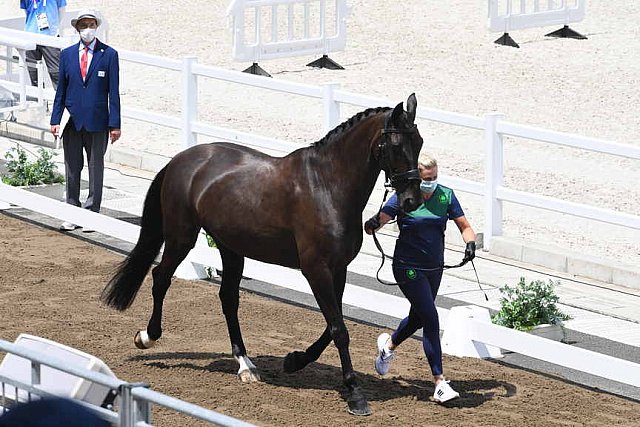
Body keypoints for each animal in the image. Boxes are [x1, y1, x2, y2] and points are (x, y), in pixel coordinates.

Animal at [101, 93, 424, 414]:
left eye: (419, 142)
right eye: (396, 144)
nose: (411, 201)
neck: (327, 186)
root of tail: (182, 159)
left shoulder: (338, 269)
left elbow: (332, 326)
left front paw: (295, 360)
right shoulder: (316, 269)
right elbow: (338, 329)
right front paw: (355, 393)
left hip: (230, 248)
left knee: (228, 298)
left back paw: (245, 364)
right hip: (182, 237)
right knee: (161, 277)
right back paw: (147, 337)